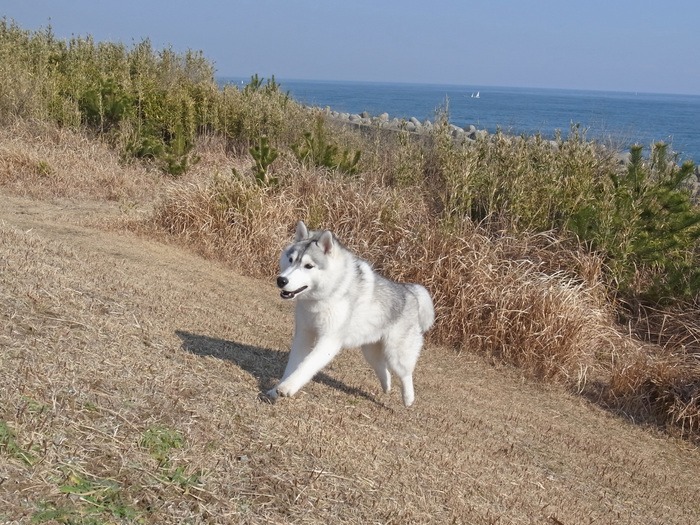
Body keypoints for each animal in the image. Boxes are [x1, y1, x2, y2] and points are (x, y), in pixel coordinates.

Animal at [266, 220, 432, 406]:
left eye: (308, 266)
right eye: (290, 260)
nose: (281, 280)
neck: (327, 294)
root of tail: (409, 290)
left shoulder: (329, 341)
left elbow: (306, 365)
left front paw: (286, 388)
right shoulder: (304, 334)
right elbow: (293, 365)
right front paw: (276, 389)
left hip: (396, 354)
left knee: (405, 373)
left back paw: (408, 399)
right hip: (370, 350)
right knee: (382, 367)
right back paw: (386, 385)